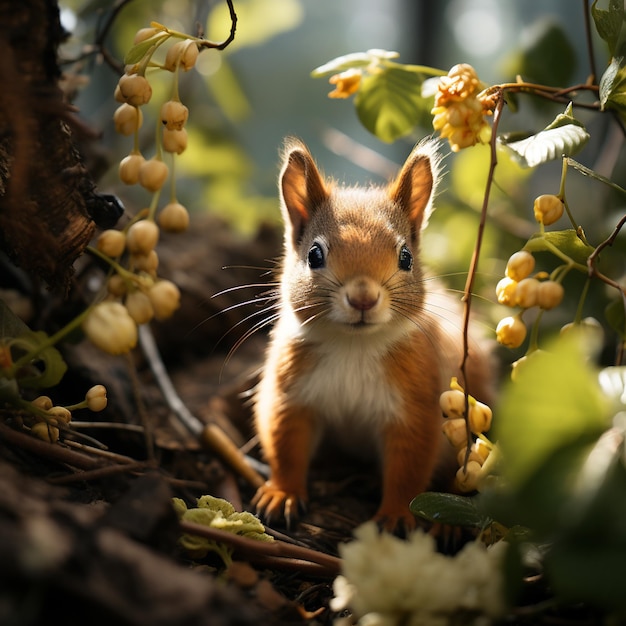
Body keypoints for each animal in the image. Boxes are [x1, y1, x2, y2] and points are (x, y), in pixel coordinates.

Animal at [251, 134, 490, 528]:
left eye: (406, 257)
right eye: (314, 255)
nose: (363, 298)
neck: (354, 345)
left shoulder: (415, 405)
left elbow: (408, 468)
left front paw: (395, 515)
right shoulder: (291, 394)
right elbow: (285, 445)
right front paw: (282, 493)